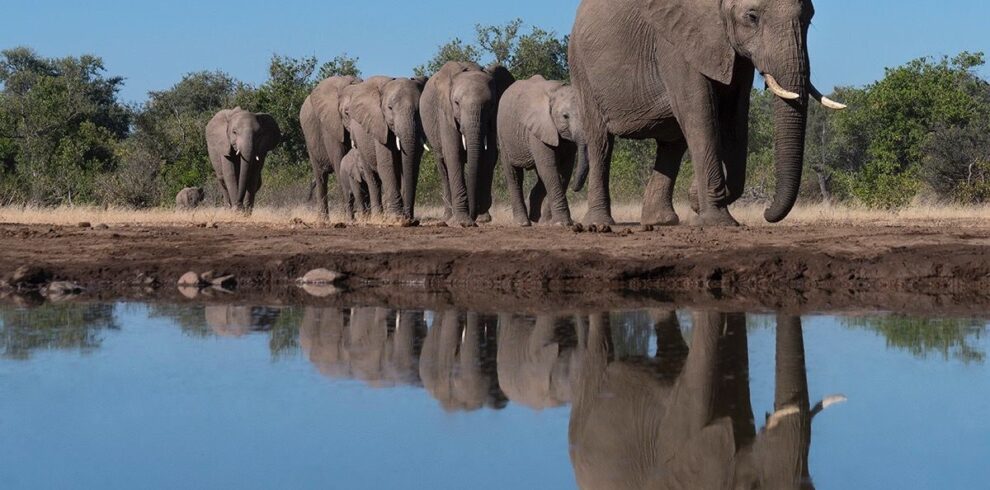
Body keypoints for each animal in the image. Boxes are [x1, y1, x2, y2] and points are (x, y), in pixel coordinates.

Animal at [300, 76, 362, 218]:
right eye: (346, 113)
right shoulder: (330, 125)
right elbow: (339, 162)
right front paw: (347, 217)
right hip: (309, 139)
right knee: (321, 178)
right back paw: (324, 220)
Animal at [344, 76, 427, 221]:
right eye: (390, 108)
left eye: (419, 109)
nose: (410, 218)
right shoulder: (380, 126)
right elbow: (387, 165)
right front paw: (397, 218)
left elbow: (413, 165)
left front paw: (404, 218)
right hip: (360, 145)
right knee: (373, 179)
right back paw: (378, 216)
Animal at [421, 62, 515, 226]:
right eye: (457, 103)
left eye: (491, 104)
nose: (473, 217)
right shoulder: (445, 113)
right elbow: (454, 155)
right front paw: (464, 221)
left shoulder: (492, 119)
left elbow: (489, 156)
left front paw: (483, 217)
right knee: (443, 167)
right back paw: (448, 217)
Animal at [497, 76, 590, 226]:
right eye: (565, 116)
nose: (575, 189)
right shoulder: (539, 129)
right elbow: (549, 168)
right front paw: (562, 223)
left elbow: (564, 171)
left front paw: (549, 222)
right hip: (504, 136)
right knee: (514, 175)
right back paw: (523, 223)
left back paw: (536, 220)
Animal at [569, 0, 846, 226]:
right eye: (752, 17)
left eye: (808, 18)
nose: (767, 212)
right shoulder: (676, 42)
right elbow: (701, 115)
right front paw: (717, 221)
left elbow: (735, 119)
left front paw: (698, 202)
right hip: (581, 68)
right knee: (601, 142)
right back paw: (600, 223)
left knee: (672, 144)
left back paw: (661, 221)